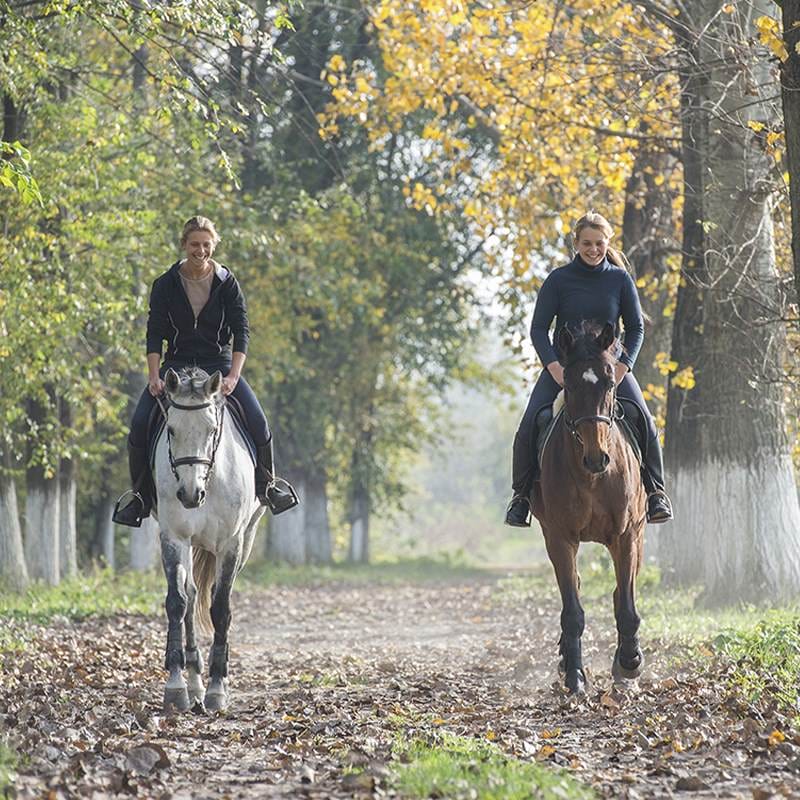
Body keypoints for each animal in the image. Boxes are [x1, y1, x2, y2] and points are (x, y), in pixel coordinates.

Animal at [150, 366, 262, 708]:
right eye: (171, 430)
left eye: (212, 430)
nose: (190, 494)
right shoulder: (173, 537)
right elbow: (177, 602)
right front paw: (176, 685)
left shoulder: (231, 543)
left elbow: (221, 608)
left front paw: (217, 687)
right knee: (191, 594)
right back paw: (194, 679)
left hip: (246, 539)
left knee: (214, 595)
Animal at [536, 318, 648, 692]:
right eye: (569, 385)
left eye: (611, 382)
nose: (597, 457)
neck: (594, 478)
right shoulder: (559, 538)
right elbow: (572, 610)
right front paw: (574, 675)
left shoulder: (626, 536)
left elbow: (625, 604)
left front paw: (629, 664)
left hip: (639, 534)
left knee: (619, 592)